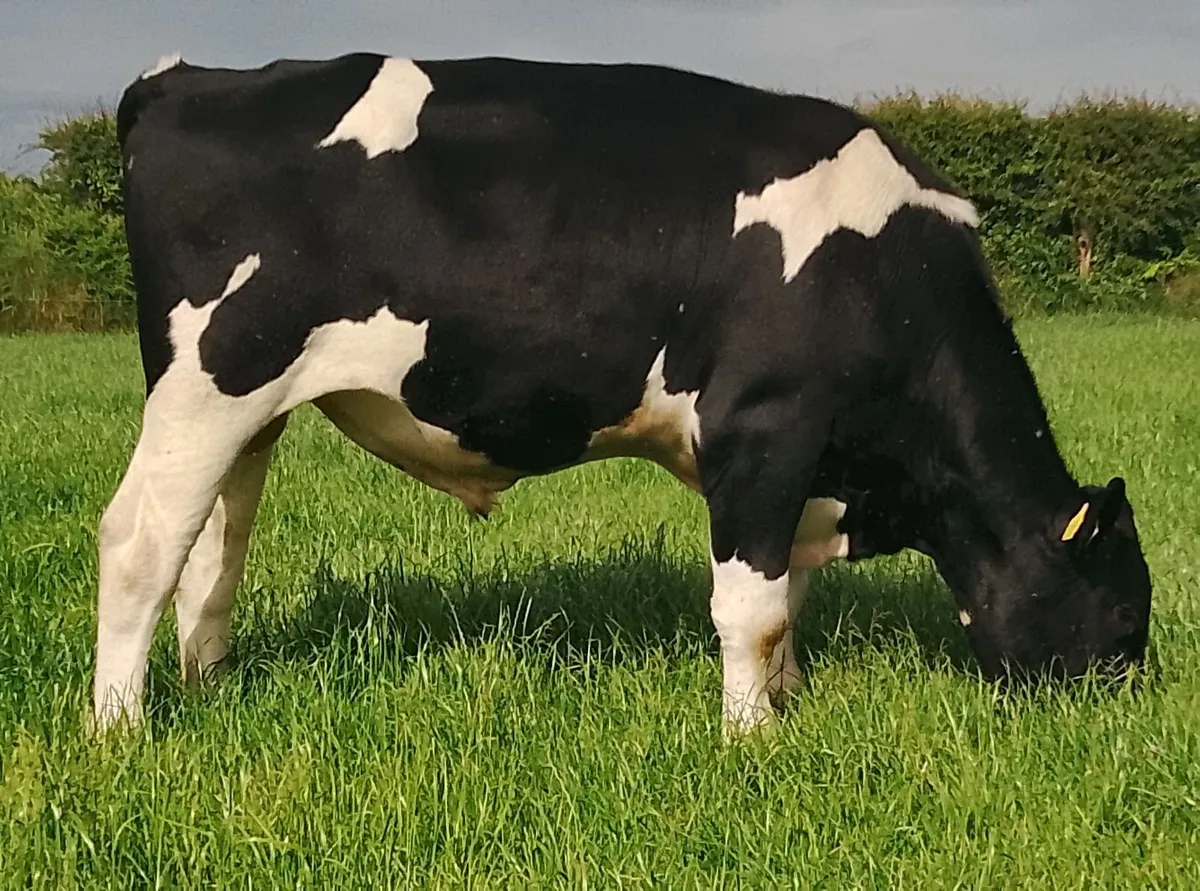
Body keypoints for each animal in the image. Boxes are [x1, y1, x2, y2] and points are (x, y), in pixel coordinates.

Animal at [92, 51, 1152, 738]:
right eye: (1124, 615)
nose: (1124, 721)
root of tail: (189, 80)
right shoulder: (762, 427)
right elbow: (753, 604)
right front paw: (752, 741)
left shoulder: (804, 465)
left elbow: (786, 596)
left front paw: (789, 702)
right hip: (208, 382)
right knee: (140, 542)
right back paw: (120, 729)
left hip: (249, 410)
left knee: (211, 548)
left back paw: (208, 688)